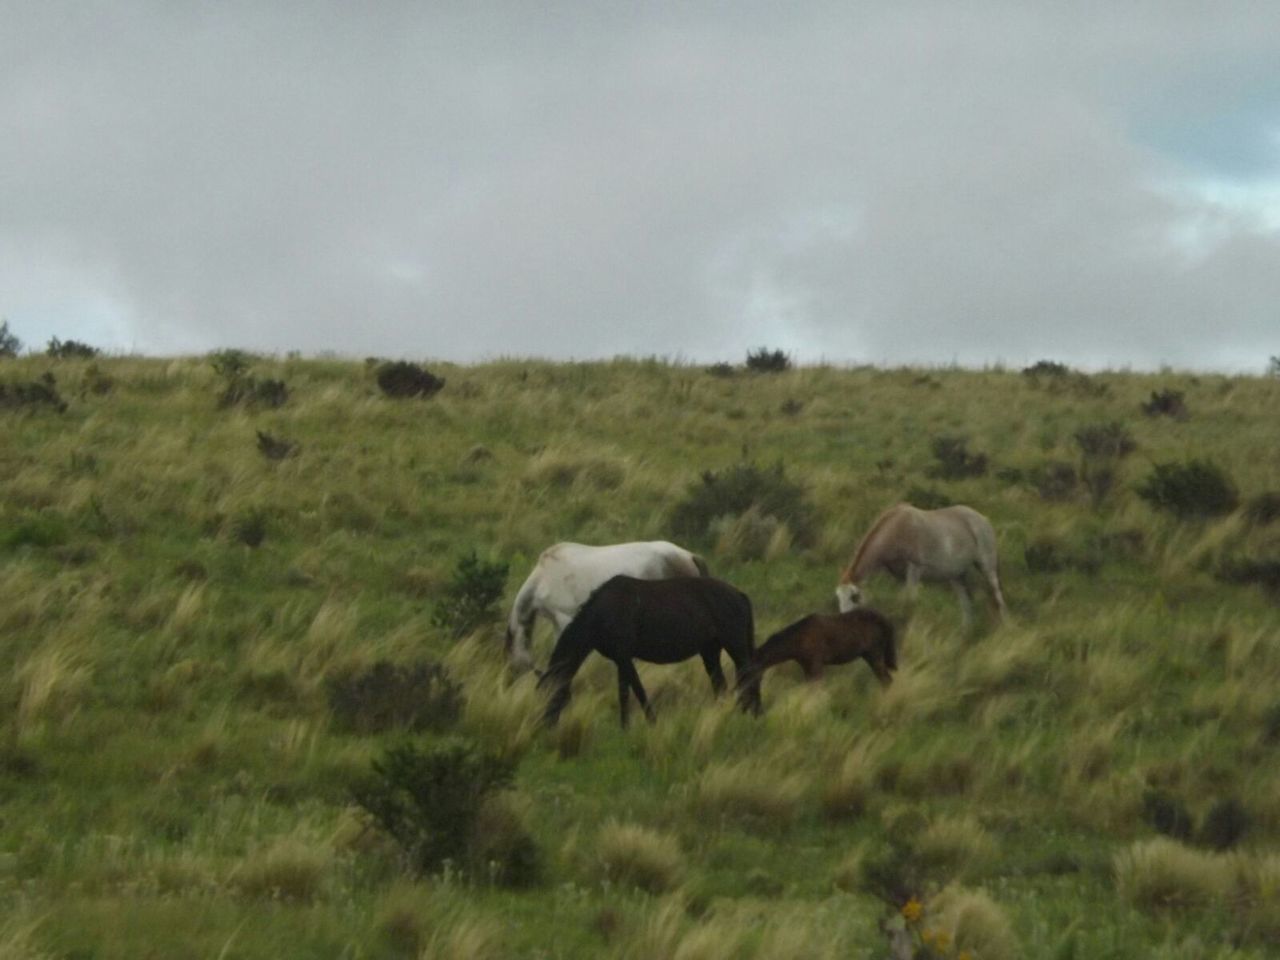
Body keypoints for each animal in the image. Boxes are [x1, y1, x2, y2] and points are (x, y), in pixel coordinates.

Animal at [537, 578, 757, 727]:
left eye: (555, 693)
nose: (545, 724)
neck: (602, 613)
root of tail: (739, 595)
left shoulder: (625, 657)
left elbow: (638, 690)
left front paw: (651, 721)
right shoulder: (620, 660)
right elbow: (624, 693)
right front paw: (624, 727)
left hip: (735, 646)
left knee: (748, 676)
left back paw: (753, 713)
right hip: (710, 651)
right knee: (721, 684)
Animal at [747, 611, 896, 686]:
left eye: (752, 671)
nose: (745, 688)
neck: (799, 637)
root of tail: (885, 620)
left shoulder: (816, 666)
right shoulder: (807, 667)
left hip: (874, 656)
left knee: (886, 680)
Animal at [834, 504, 1003, 632]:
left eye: (854, 596)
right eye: (838, 597)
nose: (844, 624)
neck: (898, 528)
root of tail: (983, 519)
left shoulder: (914, 569)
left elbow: (911, 602)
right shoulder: (900, 577)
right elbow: (903, 601)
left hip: (987, 568)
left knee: (998, 596)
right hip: (957, 576)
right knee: (966, 603)